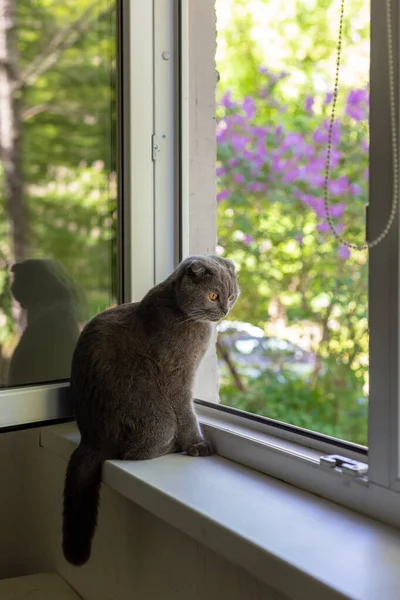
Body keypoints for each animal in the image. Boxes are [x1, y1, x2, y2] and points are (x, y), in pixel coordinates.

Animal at [61, 255, 238, 564]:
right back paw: (172, 447)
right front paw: (197, 444)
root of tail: (91, 440)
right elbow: (187, 413)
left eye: (229, 296)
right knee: (133, 454)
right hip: (158, 415)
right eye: (213, 296)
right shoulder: (176, 377)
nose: (224, 310)